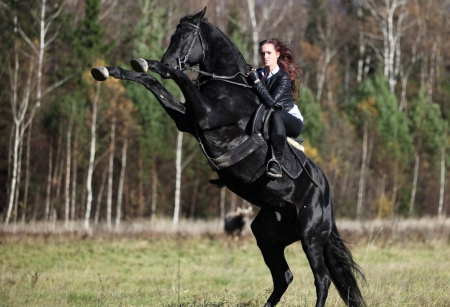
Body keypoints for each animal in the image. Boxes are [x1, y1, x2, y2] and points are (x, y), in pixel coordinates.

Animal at [91, 7, 366, 307]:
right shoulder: (188, 121)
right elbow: (151, 83)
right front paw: (112, 69)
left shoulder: (206, 116)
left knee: (322, 279)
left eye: (185, 36)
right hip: (268, 236)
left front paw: (159, 67)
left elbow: (177, 79)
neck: (229, 85)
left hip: (311, 235)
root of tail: (327, 194)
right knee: (284, 277)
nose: (168, 59)